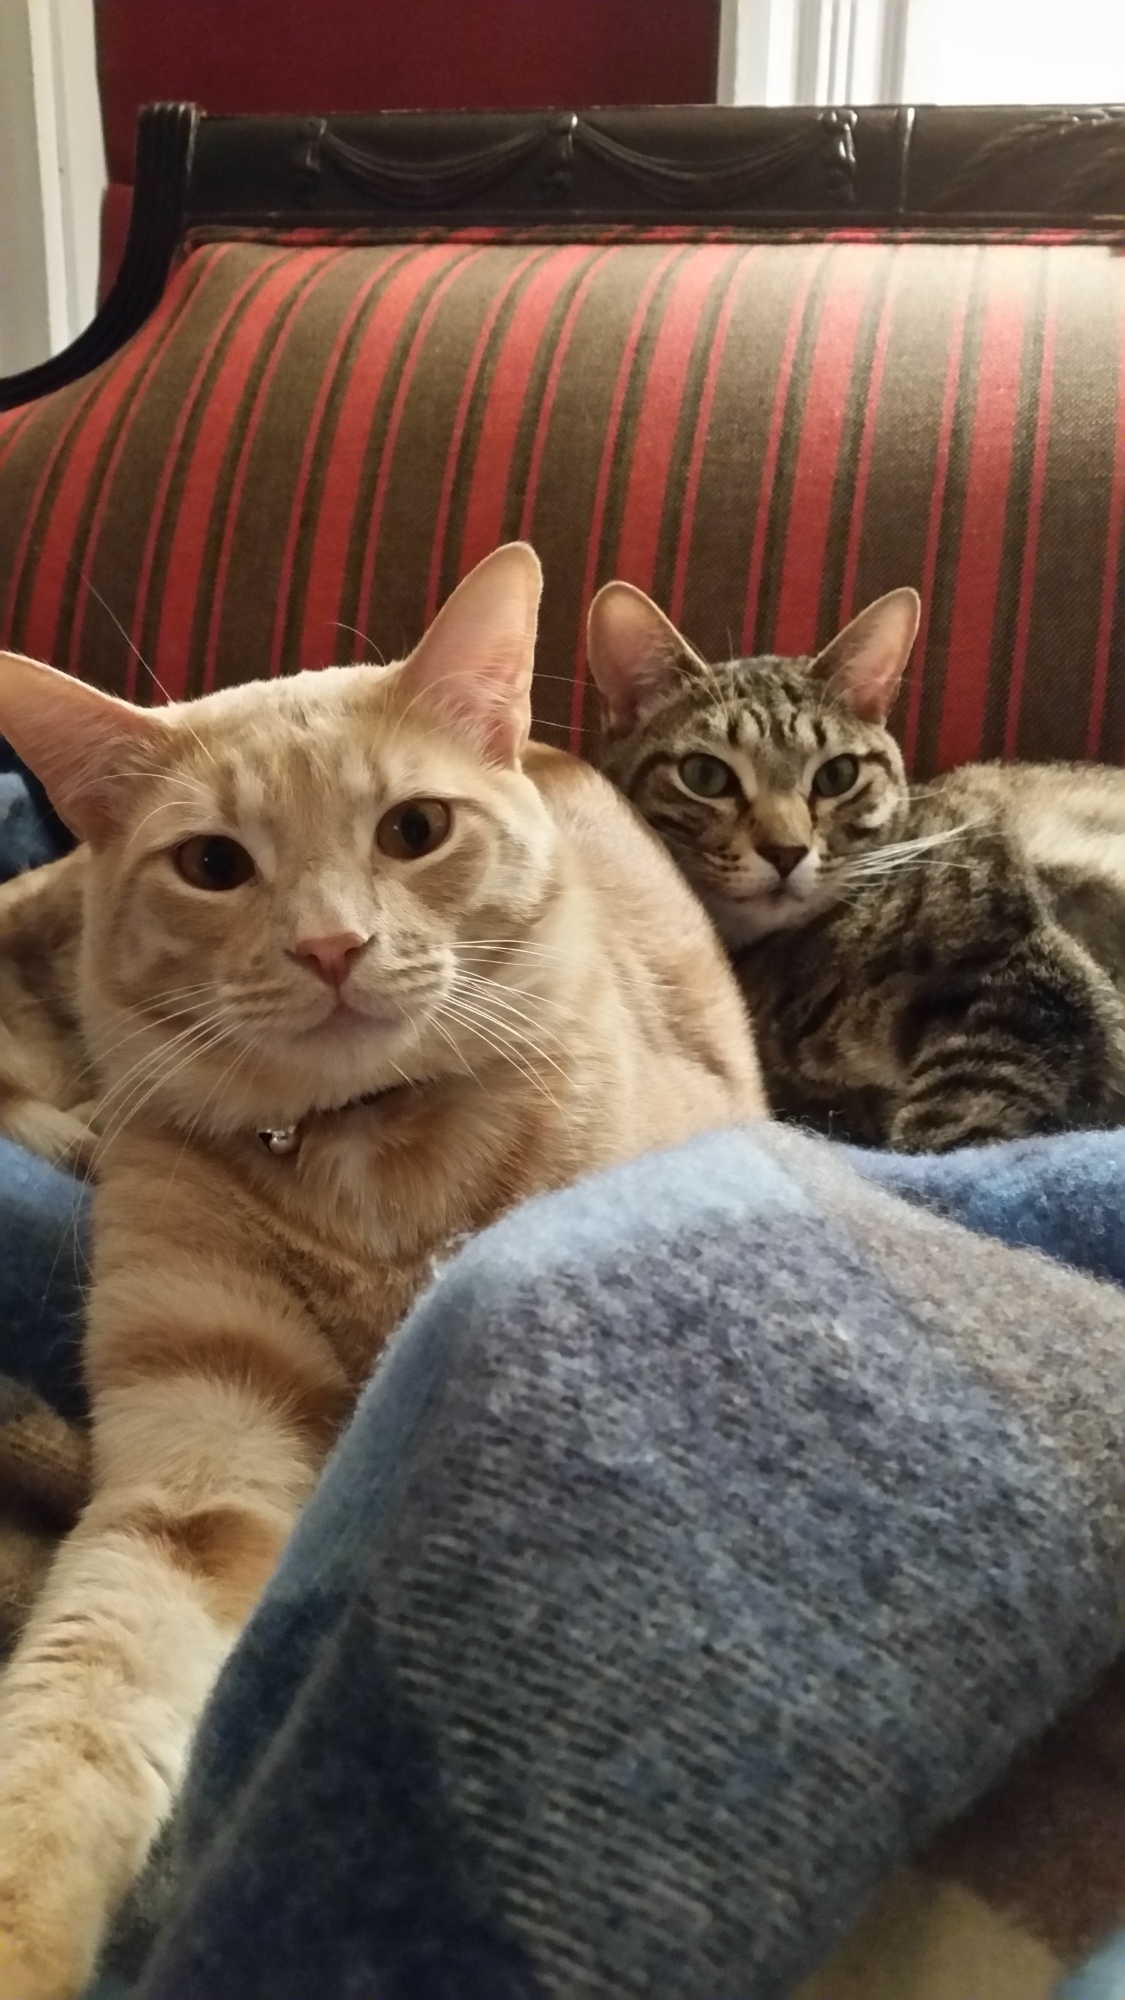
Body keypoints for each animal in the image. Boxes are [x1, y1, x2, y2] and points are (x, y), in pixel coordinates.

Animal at [0, 542, 764, 1999]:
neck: (368, 1155)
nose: (331, 946)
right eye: (213, 864)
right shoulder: (199, 1468)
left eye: (413, 831)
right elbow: (82, 1701)